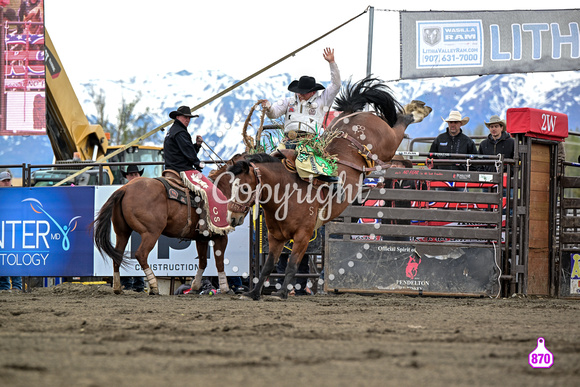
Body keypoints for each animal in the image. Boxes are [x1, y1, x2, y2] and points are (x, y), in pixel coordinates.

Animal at [93, 156, 242, 296]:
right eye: (244, 188)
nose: (237, 218)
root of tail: (125, 188)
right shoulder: (220, 236)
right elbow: (219, 261)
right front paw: (225, 288)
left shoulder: (201, 238)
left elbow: (203, 261)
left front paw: (195, 286)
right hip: (151, 233)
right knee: (141, 254)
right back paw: (154, 287)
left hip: (122, 232)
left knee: (117, 255)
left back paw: (118, 288)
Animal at [225, 76, 430, 300]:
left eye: (244, 189)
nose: (233, 218)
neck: (286, 192)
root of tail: (353, 113)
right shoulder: (275, 237)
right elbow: (268, 266)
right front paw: (253, 293)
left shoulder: (303, 236)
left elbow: (291, 265)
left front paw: (281, 293)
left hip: (388, 144)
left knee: (400, 125)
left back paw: (417, 110)